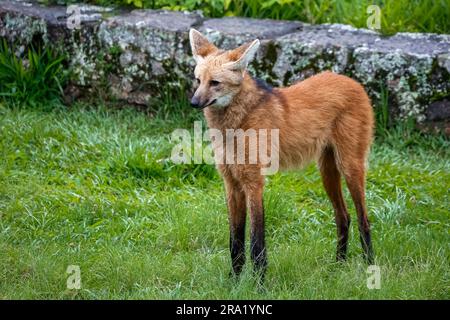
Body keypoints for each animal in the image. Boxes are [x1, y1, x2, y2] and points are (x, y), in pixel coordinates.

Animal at [188, 29, 374, 280]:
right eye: (198, 81)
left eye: (215, 83)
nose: (193, 102)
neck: (235, 123)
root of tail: (353, 81)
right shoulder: (232, 183)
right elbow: (235, 242)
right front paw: (234, 281)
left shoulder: (253, 182)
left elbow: (256, 243)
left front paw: (259, 283)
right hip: (327, 171)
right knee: (343, 216)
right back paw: (338, 265)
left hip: (349, 167)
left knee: (364, 220)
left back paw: (369, 267)